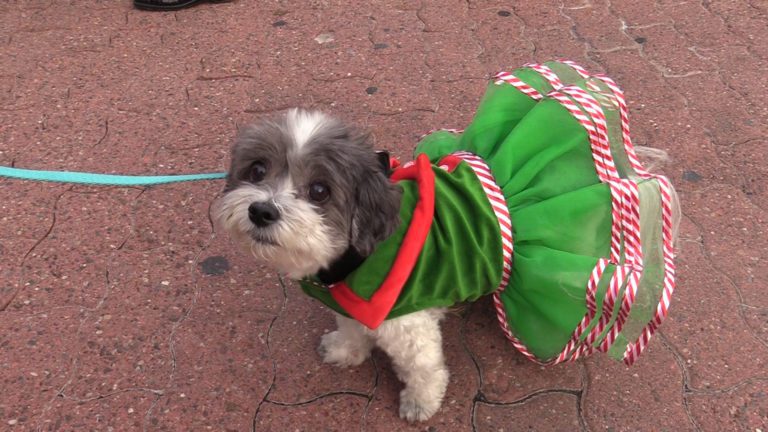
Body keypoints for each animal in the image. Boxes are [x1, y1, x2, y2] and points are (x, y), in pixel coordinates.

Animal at [213, 109, 448, 422]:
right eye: (257, 170)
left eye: (319, 190)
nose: (262, 211)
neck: (357, 258)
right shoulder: (350, 300)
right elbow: (351, 327)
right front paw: (347, 350)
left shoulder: (407, 321)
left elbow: (422, 365)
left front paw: (421, 401)